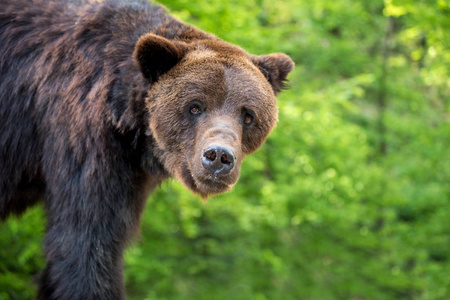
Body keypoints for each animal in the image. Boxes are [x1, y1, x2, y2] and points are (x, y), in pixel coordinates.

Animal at [0, 0, 294, 298]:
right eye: (195, 106)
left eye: (248, 115)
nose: (218, 156)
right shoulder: (83, 137)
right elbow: (86, 244)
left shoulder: (132, 175)